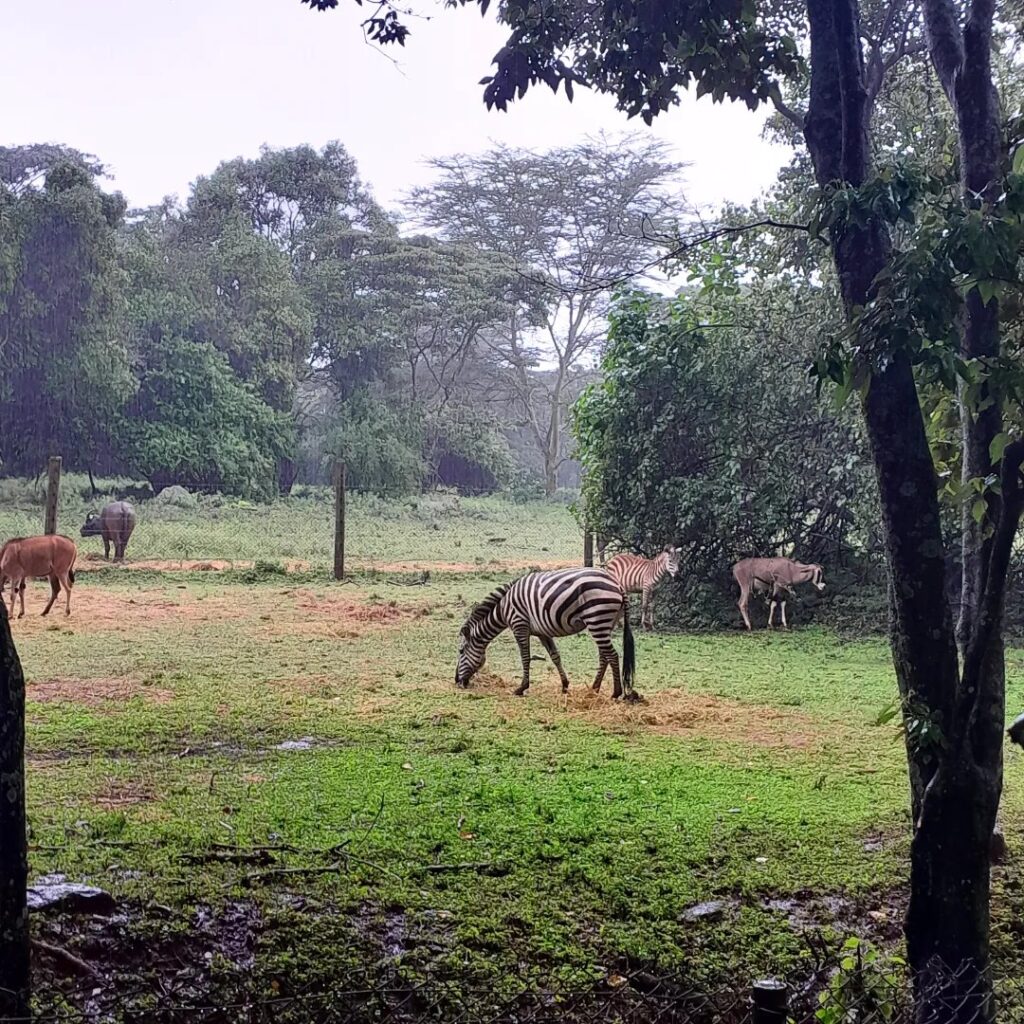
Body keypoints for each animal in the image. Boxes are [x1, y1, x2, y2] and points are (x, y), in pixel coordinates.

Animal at [454, 573, 634, 700]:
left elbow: (525, 657)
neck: (504, 609)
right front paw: (565, 686)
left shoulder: (519, 625)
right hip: (605, 623)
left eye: (461, 651)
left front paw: (521, 688)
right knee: (604, 656)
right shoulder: (542, 632)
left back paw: (616, 693)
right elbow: (555, 656)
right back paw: (594, 688)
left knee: (612, 655)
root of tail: (618, 584)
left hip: (597, 619)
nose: (457, 681)